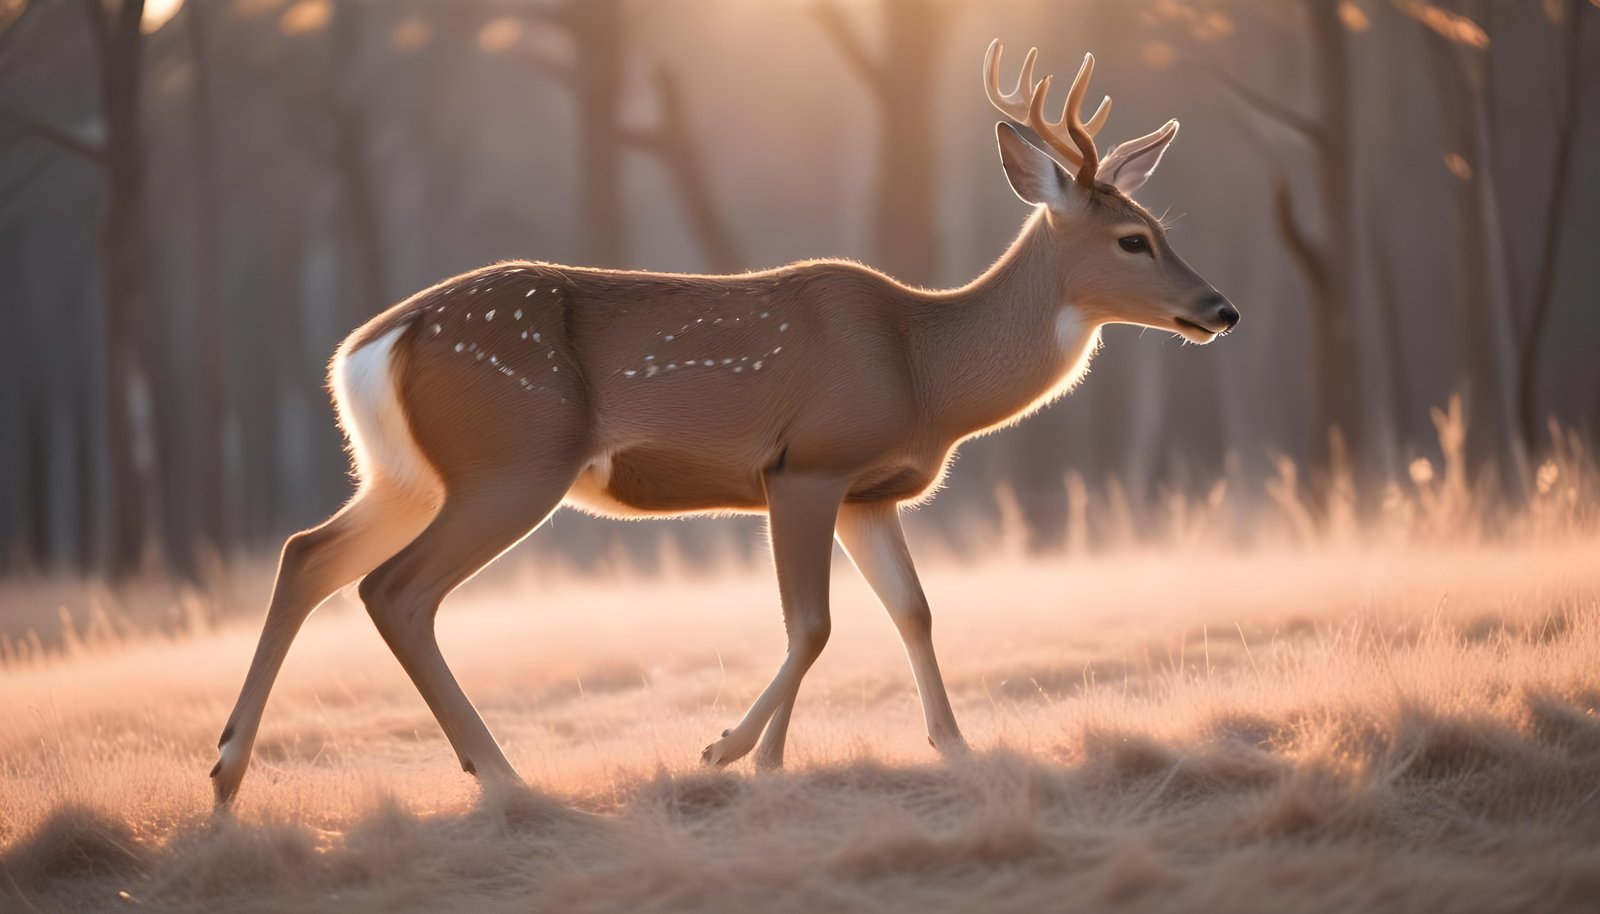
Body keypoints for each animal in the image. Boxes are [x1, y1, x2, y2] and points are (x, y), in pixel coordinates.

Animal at [210, 39, 1238, 805]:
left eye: (1162, 226)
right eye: (1133, 239)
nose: (1220, 309)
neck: (924, 370)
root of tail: (370, 346)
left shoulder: (869, 494)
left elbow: (909, 610)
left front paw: (940, 745)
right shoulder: (807, 464)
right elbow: (812, 623)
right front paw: (727, 751)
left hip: (403, 473)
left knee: (307, 555)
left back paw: (226, 775)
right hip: (512, 458)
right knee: (396, 589)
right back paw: (500, 775)